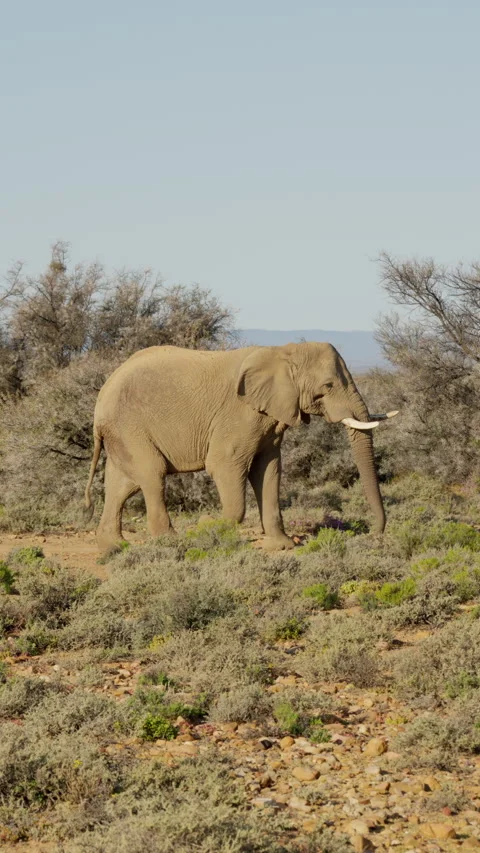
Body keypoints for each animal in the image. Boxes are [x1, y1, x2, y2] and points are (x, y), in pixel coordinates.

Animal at [84, 342, 397, 555]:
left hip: (122, 432)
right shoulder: (239, 415)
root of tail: (101, 396)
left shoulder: (269, 420)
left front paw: (284, 546)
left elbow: (268, 471)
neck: (285, 352)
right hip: (130, 426)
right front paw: (208, 527)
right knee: (152, 475)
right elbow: (224, 466)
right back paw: (171, 542)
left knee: (122, 485)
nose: (373, 534)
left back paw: (115, 547)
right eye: (328, 386)